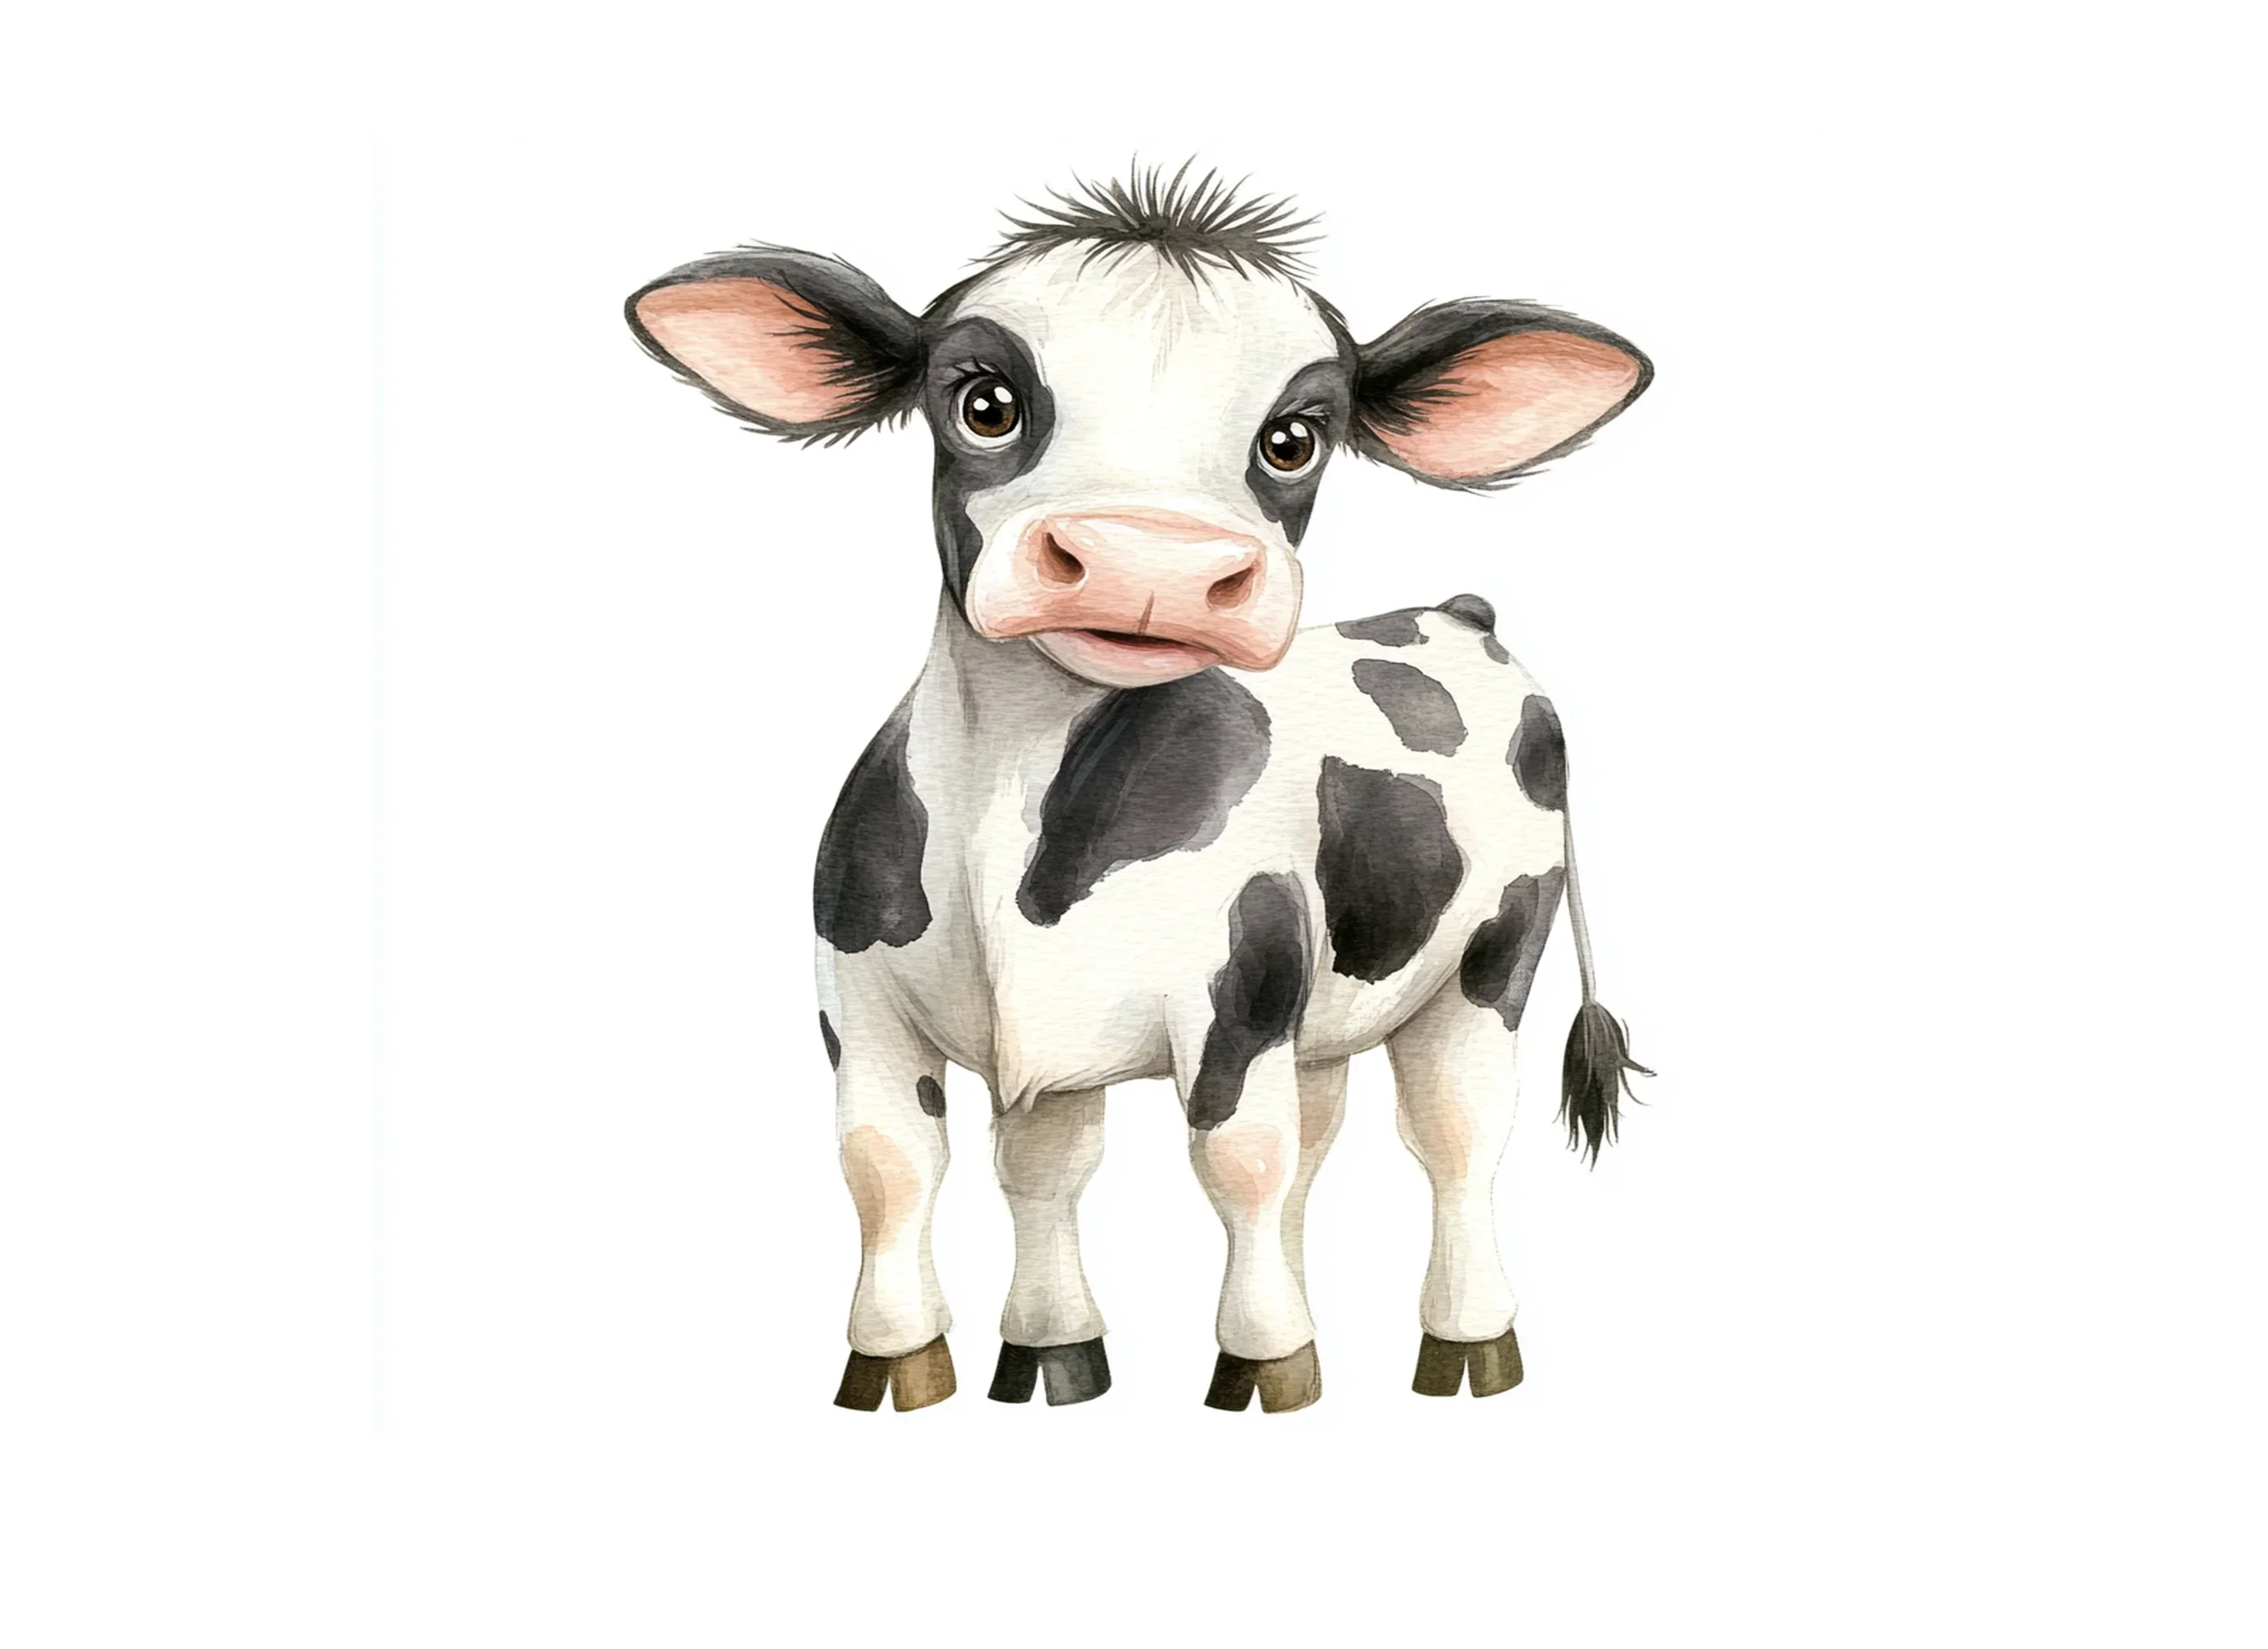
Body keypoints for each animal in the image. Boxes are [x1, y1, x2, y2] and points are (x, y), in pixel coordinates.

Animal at [625, 165, 1652, 1414]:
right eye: (984, 402)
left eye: (1294, 438)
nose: (1148, 563)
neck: (1012, 818)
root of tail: (1458, 611)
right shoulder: (861, 1002)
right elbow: (922, 1167)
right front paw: (985, 1354)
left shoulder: (1237, 999)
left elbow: (1236, 1161)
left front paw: (1266, 1363)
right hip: (1323, 1007)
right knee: (1316, 1141)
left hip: (1491, 955)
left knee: (1453, 1134)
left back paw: (1465, 1345)